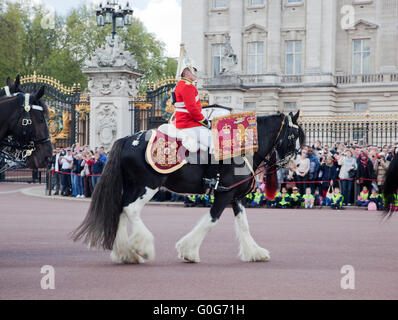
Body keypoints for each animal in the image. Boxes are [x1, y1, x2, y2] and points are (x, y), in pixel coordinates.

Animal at [73, 111, 304, 264]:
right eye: (293, 136)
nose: (295, 165)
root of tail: (129, 139)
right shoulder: (224, 194)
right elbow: (211, 221)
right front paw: (188, 251)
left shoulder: (235, 196)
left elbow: (244, 225)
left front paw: (255, 252)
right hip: (147, 186)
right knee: (131, 210)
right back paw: (143, 247)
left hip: (134, 186)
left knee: (121, 210)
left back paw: (125, 253)